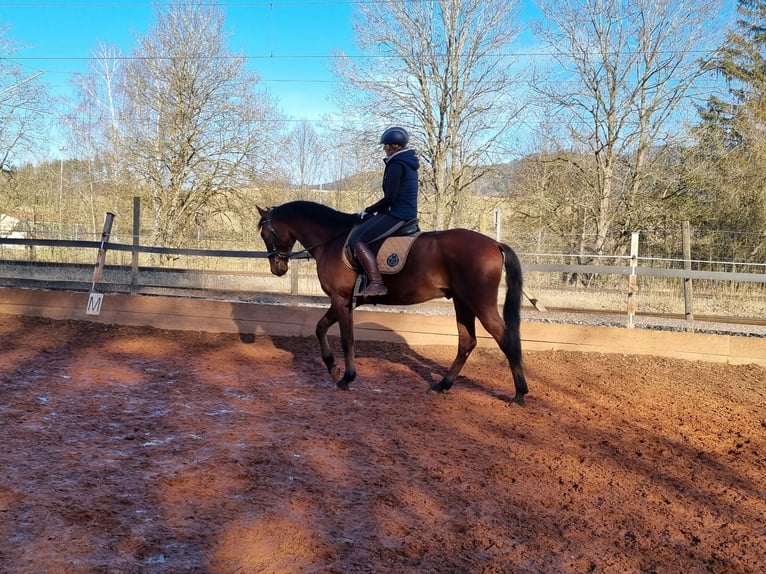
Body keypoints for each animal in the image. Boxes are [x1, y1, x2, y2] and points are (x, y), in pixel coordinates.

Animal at [258, 201, 528, 404]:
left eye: (265, 233)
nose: (277, 268)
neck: (331, 240)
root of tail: (494, 243)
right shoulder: (344, 301)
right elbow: (320, 327)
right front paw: (332, 367)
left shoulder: (341, 298)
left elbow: (346, 338)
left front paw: (346, 378)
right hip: (462, 303)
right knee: (467, 342)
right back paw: (442, 385)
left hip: (480, 304)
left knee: (505, 339)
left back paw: (519, 394)